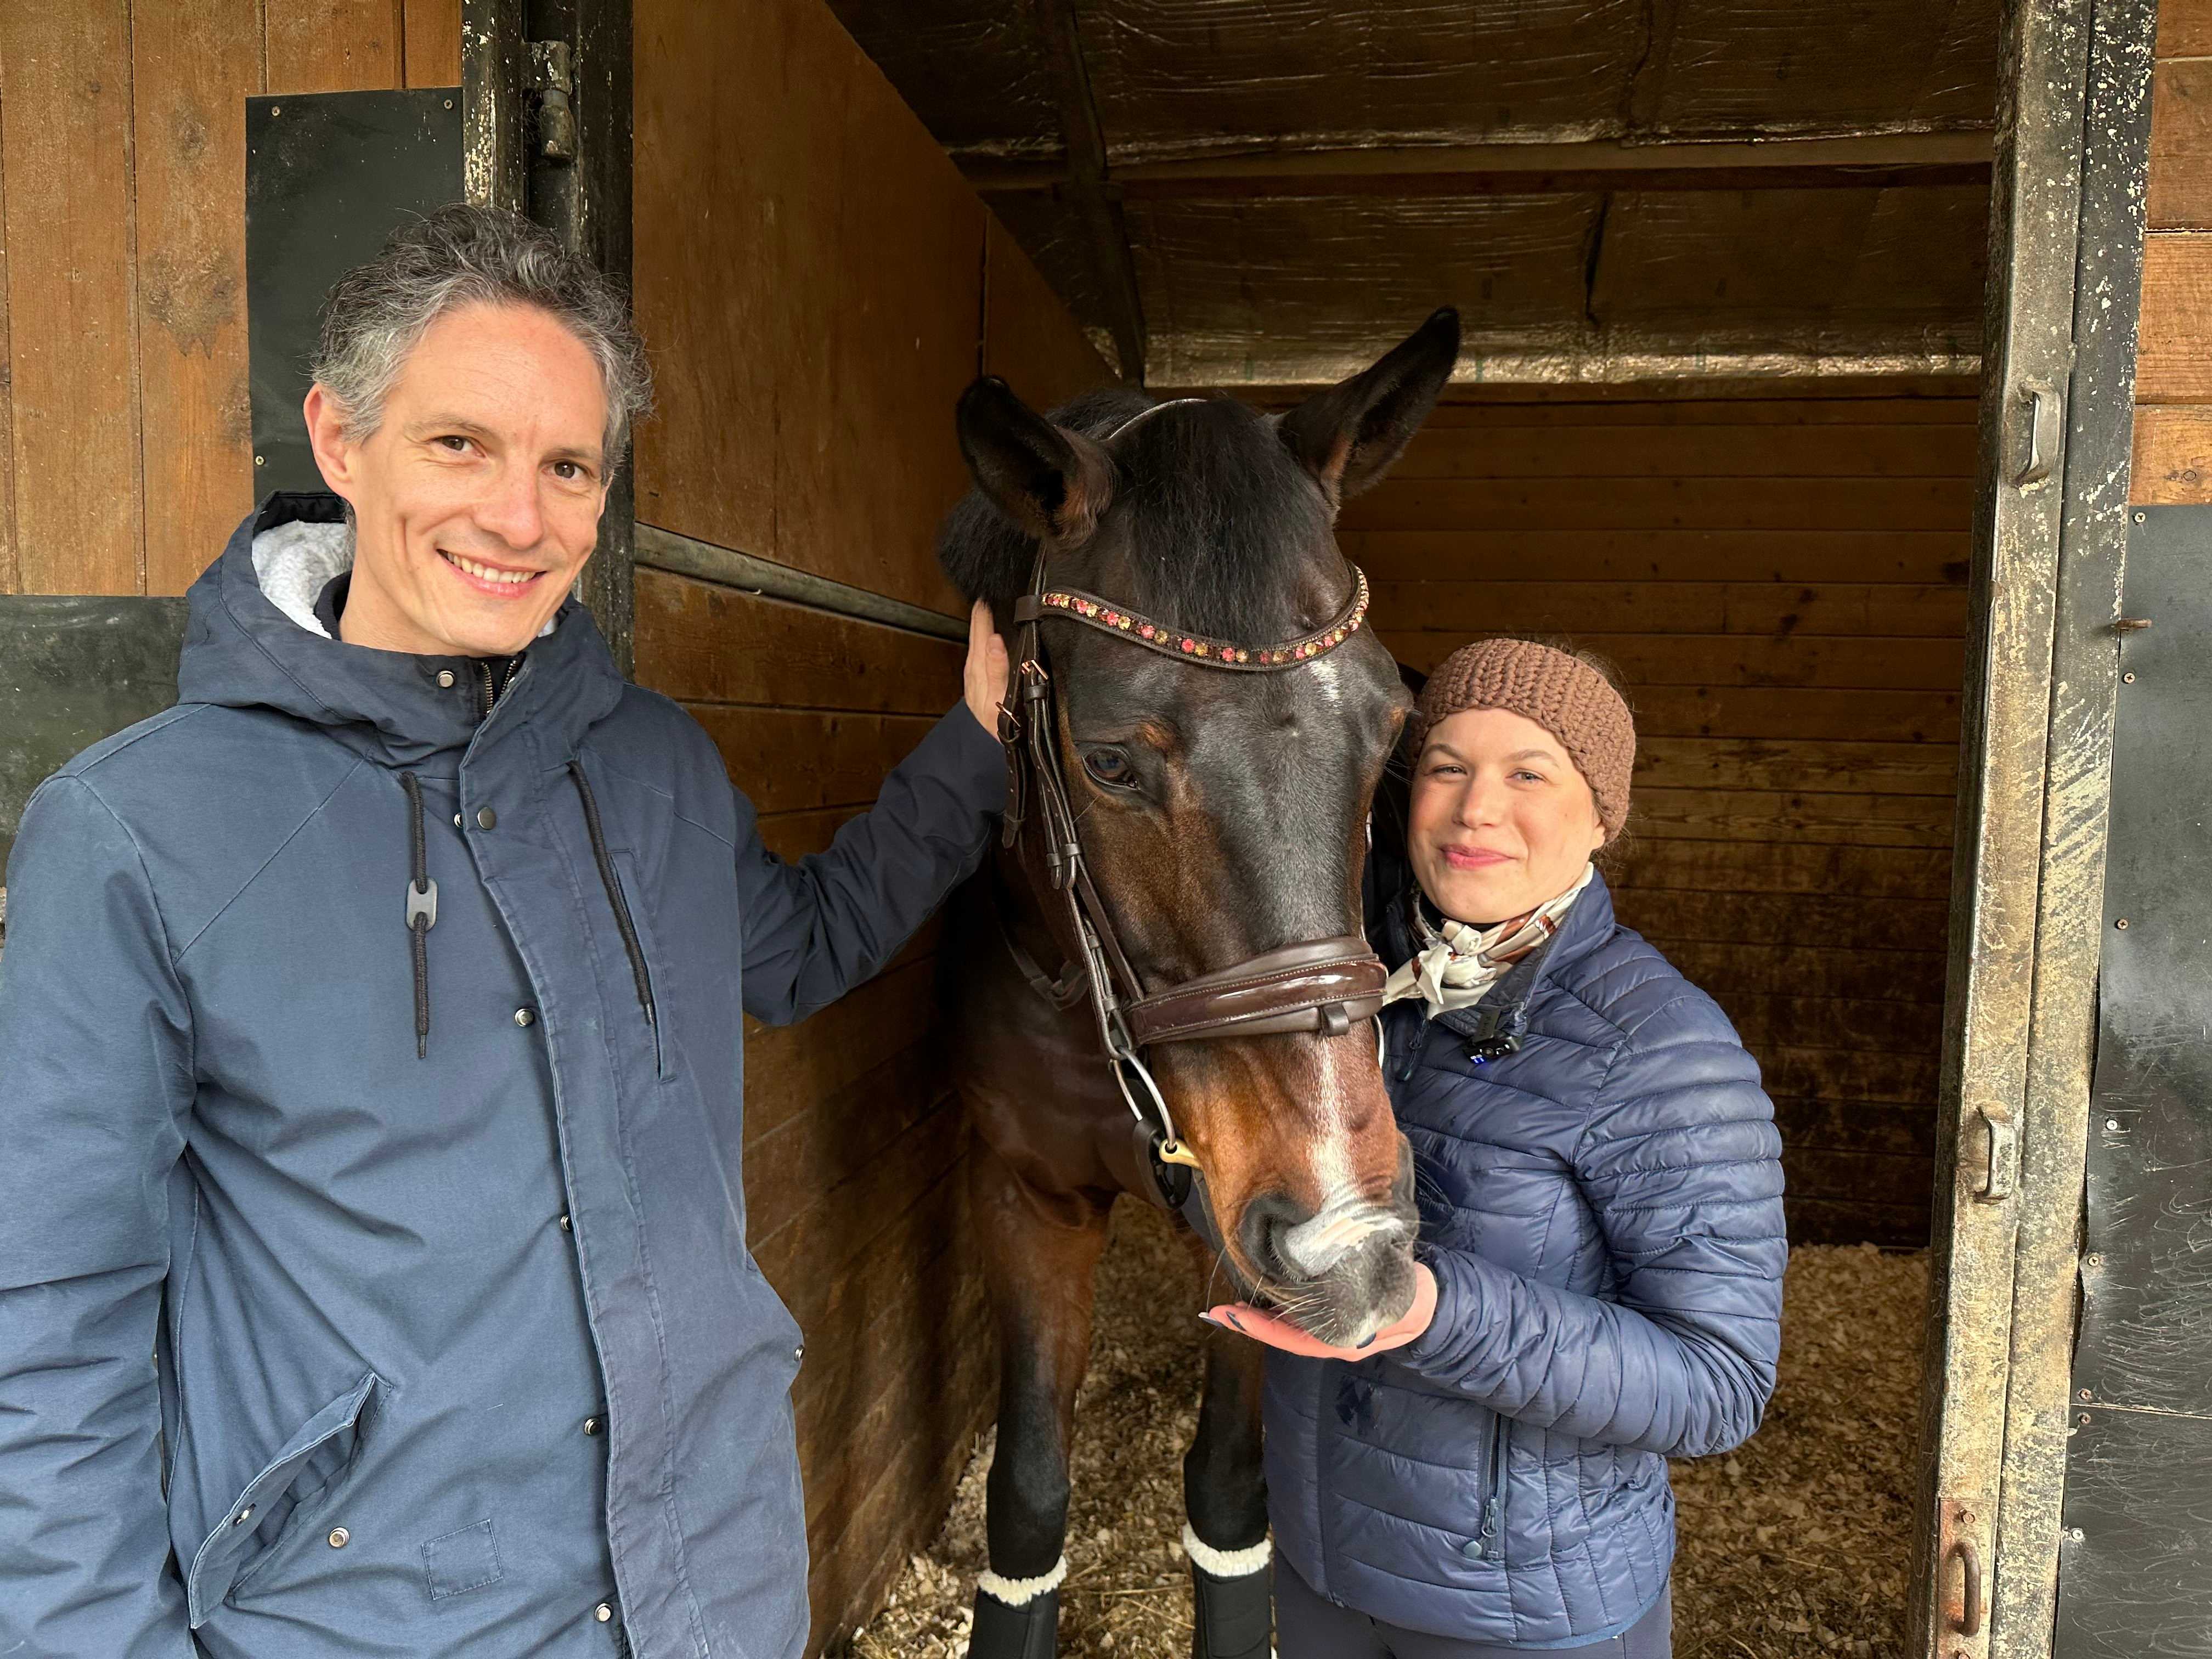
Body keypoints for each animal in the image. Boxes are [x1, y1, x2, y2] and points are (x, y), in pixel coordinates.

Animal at [933, 312, 1469, 1659]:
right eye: (1110, 761)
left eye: (1390, 730)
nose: (1356, 1242)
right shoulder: (1025, 1196)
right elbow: (1028, 1493)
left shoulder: (1246, 1244)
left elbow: (1228, 1495)